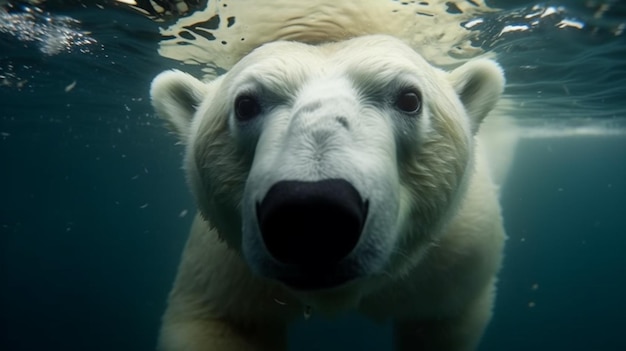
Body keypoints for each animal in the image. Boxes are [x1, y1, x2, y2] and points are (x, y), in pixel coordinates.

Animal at [152, 34, 508, 350]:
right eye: (245, 104)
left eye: (410, 99)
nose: (313, 211)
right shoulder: (225, 269)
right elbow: (218, 324)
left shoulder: (455, 262)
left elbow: (442, 321)